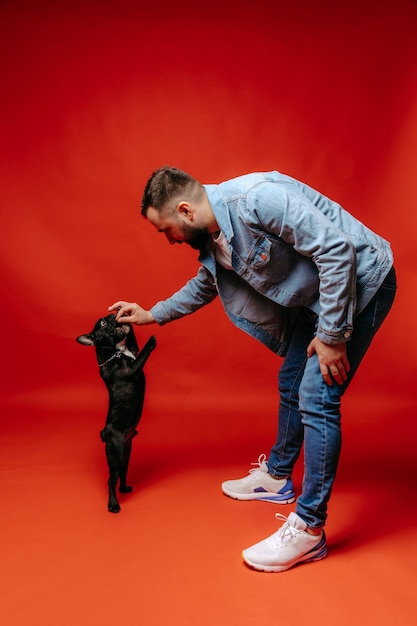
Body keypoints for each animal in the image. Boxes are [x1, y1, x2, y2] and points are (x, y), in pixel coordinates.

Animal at [76, 312, 156, 512]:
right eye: (103, 323)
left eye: (106, 317)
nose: (111, 315)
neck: (115, 352)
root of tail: (105, 433)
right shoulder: (133, 370)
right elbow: (142, 355)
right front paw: (150, 342)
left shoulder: (132, 350)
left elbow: (134, 344)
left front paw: (128, 318)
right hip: (115, 453)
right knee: (111, 480)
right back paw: (113, 504)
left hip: (126, 453)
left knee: (122, 473)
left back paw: (124, 488)